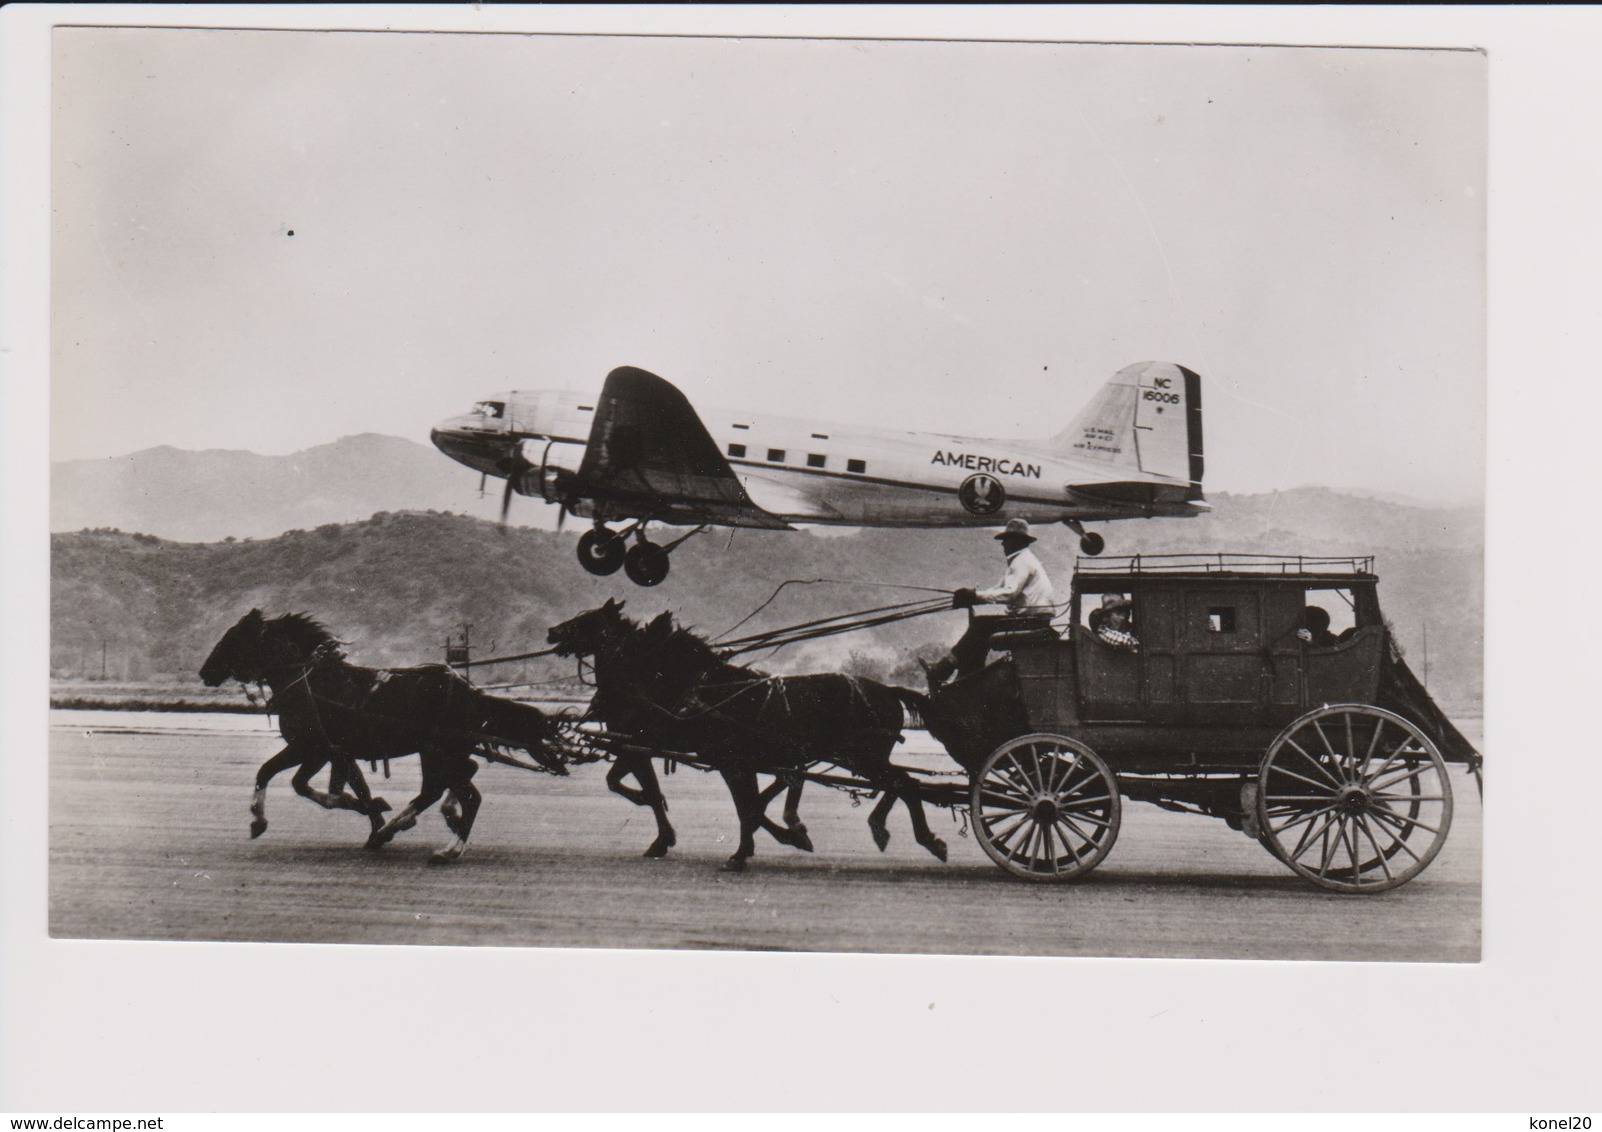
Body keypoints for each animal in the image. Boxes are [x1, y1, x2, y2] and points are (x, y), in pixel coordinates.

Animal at [200, 611, 563, 858]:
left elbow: (284, 777)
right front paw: (371, 812)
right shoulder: (329, 752)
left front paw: (259, 819)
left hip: (438, 750)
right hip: (441, 751)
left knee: (458, 793)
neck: (312, 683)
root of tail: (473, 693)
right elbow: (329, 785)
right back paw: (414, 826)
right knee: (454, 784)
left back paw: (445, 848)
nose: (205, 673)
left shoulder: (311, 748)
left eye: (234, 638)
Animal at [551, 602, 948, 877]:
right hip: (859, 757)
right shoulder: (647, 747)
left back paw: (918, 837)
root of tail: (889, 690)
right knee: (897, 784)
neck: (705, 691)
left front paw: (737, 854)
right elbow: (749, 806)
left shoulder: (722, 760)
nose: (553, 632)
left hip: (864, 756)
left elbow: (745, 807)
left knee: (904, 783)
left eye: (587, 620)